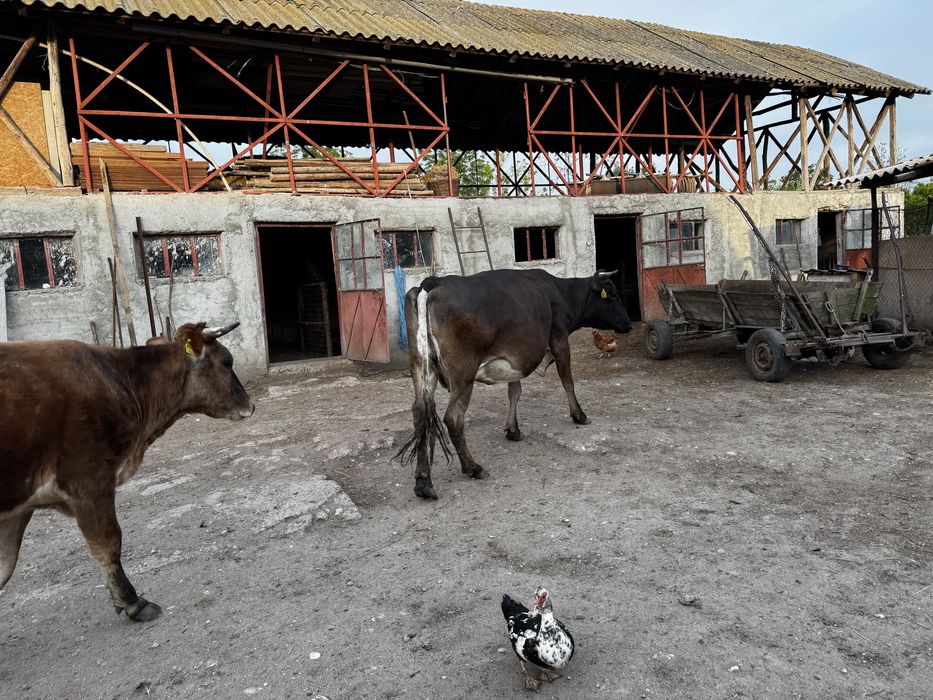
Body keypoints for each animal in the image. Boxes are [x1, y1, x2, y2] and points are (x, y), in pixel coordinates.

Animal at [0, 322, 254, 622]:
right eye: (227, 362)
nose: (250, 405)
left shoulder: (19, 506)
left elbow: (5, 565)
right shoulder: (89, 479)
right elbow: (109, 544)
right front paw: (133, 602)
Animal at [398, 269, 632, 499]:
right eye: (612, 295)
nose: (629, 324)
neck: (561, 292)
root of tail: (432, 281)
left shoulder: (517, 356)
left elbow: (515, 391)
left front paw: (513, 430)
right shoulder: (559, 340)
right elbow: (567, 381)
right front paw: (579, 415)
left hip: (421, 367)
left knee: (420, 413)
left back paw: (423, 481)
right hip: (463, 373)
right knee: (453, 418)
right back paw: (473, 468)